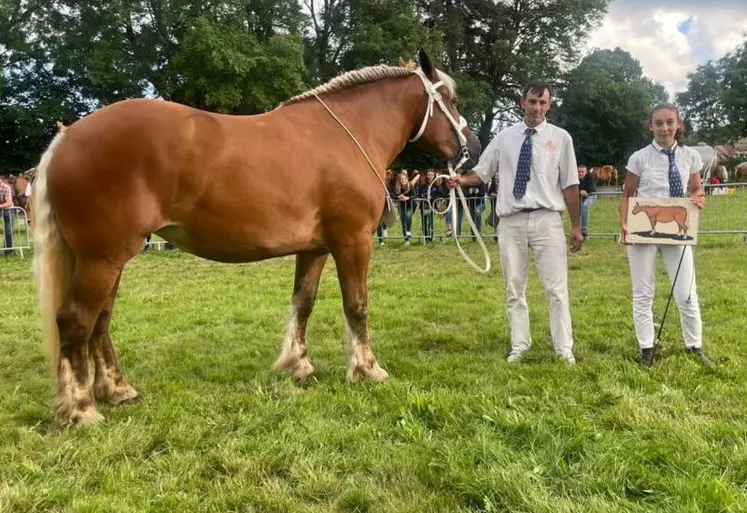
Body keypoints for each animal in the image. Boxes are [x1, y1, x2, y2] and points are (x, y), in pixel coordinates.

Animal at [33, 49, 480, 424]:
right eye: (452, 100)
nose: (473, 148)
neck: (347, 135)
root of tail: (67, 137)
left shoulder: (316, 248)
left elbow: (303, 303)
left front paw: (298, 365)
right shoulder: (353, 241)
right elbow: (357, 305)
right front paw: (367, 370)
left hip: (108, 259)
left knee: (100, 321)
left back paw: (117, 390)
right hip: (102, 259)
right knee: (76, 321)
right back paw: (81, 410)